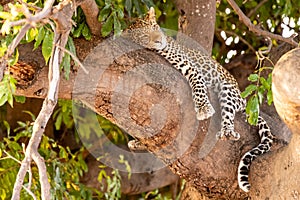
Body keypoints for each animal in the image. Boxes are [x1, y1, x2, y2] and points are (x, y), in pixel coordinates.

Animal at [122, 7, 274, 192]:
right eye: (144, 36)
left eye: (154, 27)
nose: (159, 40)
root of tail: (242, 98)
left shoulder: (190, 66)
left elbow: (198, 85)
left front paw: (203, 109)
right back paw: (138, 143)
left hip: (228, 90)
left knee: (228, 113)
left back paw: (227, 132)